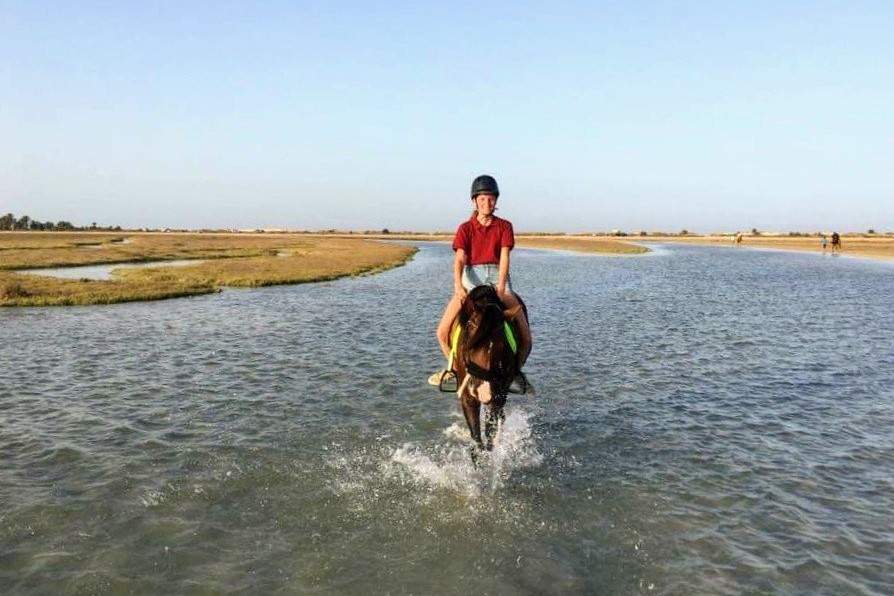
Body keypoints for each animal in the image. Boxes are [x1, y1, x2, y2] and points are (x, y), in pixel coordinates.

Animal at [440, 286, 528, 458]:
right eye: (472, 329)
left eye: (502, 341)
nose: (484, 391)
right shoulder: (468, 398)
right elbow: (476, 440)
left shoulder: (497, 397)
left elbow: (489, 437)